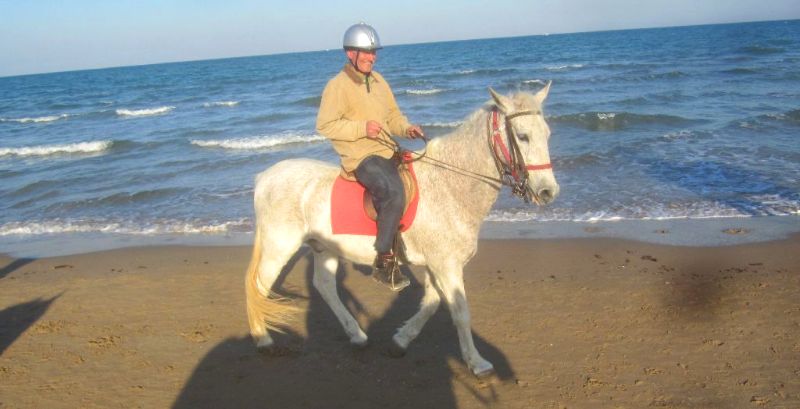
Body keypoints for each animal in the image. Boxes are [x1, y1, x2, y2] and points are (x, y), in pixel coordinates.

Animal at [244, 83, 556, 376]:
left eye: (547, 133)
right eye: (522, 136)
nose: (548, 192)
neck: (448, 184)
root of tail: (264, 177)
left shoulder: (437, 265)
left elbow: (431, 303)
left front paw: (400, 340)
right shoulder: (446, 265)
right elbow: (460, 311)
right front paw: (477, 364)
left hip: (324, 248)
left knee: (324, 286)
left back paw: (357, 335)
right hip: (280, 246)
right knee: (258, 286)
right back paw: (263, 339)